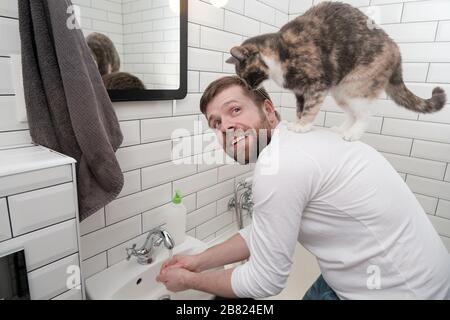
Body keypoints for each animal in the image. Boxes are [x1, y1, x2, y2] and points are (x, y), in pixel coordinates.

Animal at [227, 1, 444, 141]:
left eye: (246, 75)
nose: (249, 88)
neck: (279, 52)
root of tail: (396, 49)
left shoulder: (317, 85)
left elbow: (310, 109)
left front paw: (303, 126)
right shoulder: (300, 92)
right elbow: (299, 109)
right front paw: (297, 123)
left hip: (356, 86)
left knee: (365, 115)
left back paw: (351, 134)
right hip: (341, 92)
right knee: (352, 114)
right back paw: (340, 130)